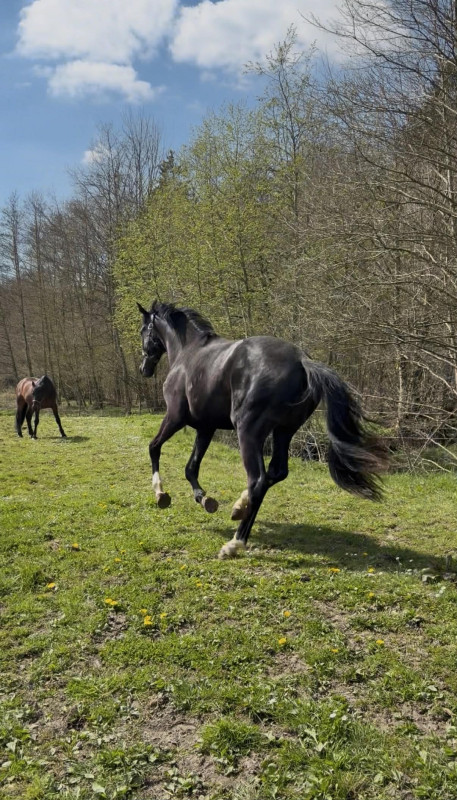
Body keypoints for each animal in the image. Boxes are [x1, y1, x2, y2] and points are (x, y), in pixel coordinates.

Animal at [137, 301, 386, 559]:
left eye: (143, 331)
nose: (144, 368)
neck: (188, 352)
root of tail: (301, 362)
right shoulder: (206, 428)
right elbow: (191, 468)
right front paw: (204, 499)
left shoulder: (175, 417)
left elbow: (154, 448)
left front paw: (161, 494)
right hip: (284, 432)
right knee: (275, 474)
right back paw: (239, 508)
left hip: (248, 432)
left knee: (258, 480)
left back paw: (234, 543)